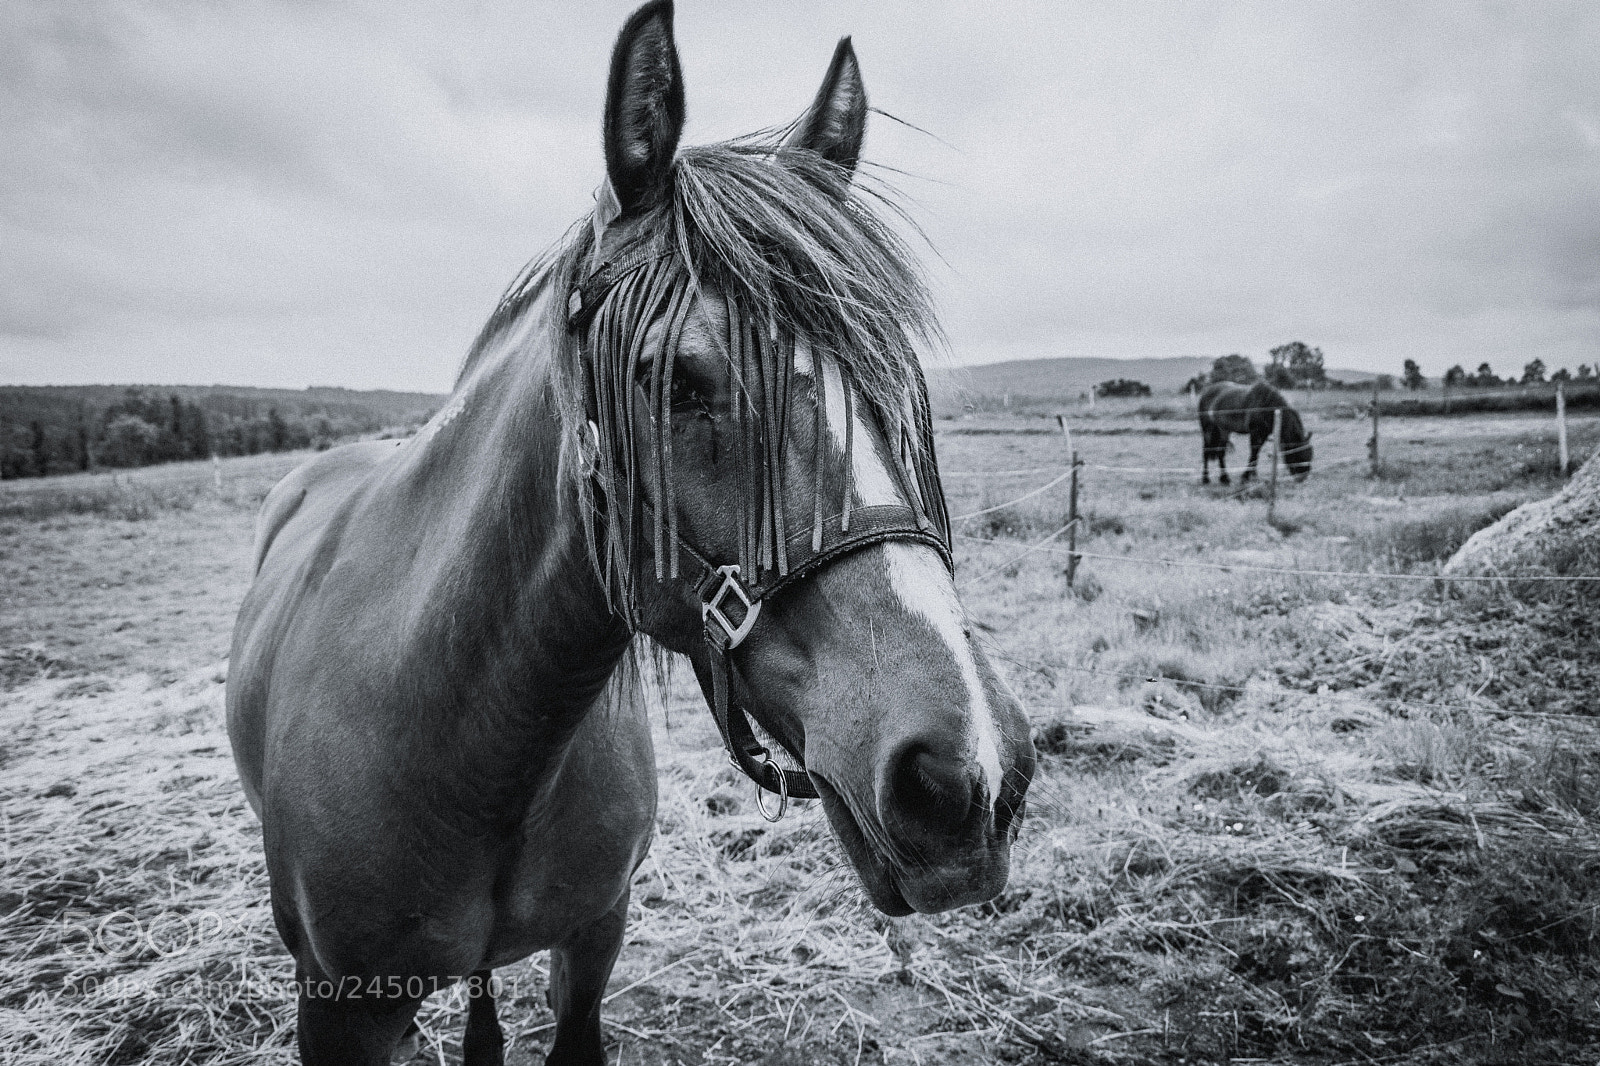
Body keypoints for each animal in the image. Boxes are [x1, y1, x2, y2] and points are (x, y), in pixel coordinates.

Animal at [225, 4, 1036, 1063]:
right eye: (675, 381)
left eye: (887, 375)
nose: (968, 774)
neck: (476, 747)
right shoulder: (340, 1006)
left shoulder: (593, 942)